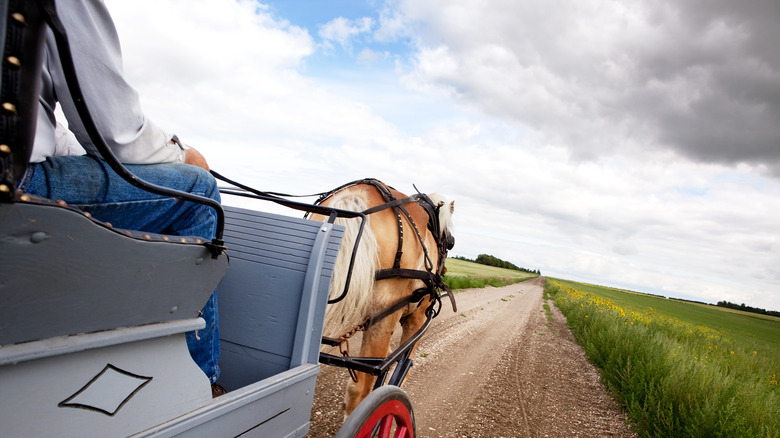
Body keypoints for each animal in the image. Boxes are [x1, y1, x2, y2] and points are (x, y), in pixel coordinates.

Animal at [310, 177, 458, 414]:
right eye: (448, 242)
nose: (443, 269)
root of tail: (356, 195)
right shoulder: (417, 318)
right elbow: (404, 365)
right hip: (383, 314)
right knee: (360, 389)